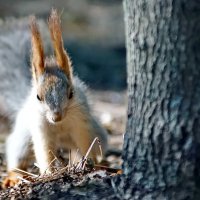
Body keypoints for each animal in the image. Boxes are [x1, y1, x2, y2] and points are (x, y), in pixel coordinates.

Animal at [1, 9, 108, 188]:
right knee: (17, 153)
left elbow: (85, 143)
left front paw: (87, 163)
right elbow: (44, 151)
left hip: (96, 131)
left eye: (71, 93)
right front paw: (49, 173)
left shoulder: (81, 123)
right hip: (23, 136)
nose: (56, 117)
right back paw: (14, 176)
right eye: (38, 96)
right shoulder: (40, 128)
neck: (60, 125)